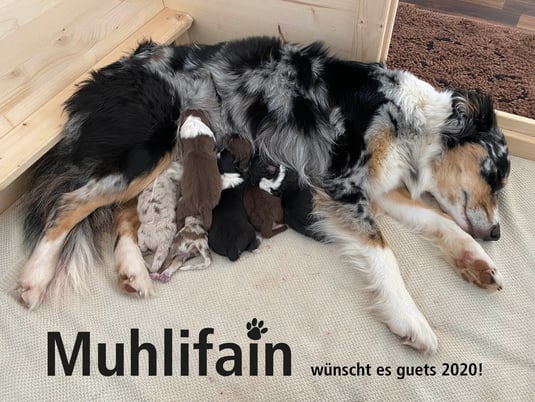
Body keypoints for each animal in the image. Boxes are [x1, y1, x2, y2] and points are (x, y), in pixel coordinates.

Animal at [19, 37, 510, 354]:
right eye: (495, 173)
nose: (498, 233)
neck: (411, 119)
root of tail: (100, 79)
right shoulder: (342, 185)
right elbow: (384, 252)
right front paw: (411, 320)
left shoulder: (379, 186)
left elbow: (441, 221)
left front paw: (478, 262)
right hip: (146, 150)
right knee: (70, 204)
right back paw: (34, 279)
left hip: (152, 162)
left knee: (121, 210)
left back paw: (132, 271)